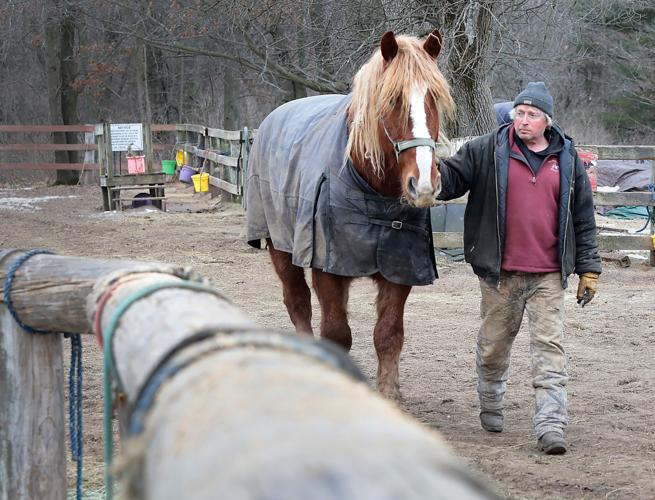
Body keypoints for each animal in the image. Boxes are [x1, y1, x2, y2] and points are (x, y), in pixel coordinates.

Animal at [246, 29, 455, 400]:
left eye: (433, 98)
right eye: (393, 100)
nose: (424, 184)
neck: (370, 188)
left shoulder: (397, 271)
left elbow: (388, 335)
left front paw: (389, 394)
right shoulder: (328, 269)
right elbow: (337, 334)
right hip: (280, 249)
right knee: (297, 303)